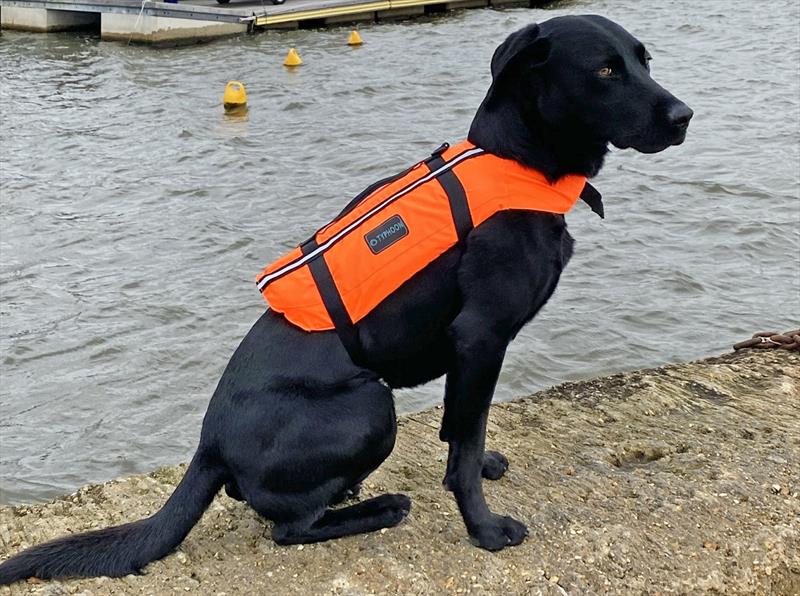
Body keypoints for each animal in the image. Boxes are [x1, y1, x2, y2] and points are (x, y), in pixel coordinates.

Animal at [0, 14, 688, 584]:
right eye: (605, 70)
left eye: (645, 60)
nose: (684, 116)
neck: (518, 159)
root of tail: (208, 446)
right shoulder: (481, 335)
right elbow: (461, 450)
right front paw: (486, 529)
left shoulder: (470, 353)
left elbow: (462, 427)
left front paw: (485, 463)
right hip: (370, 404)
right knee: (287, 528)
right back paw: (382, 506)